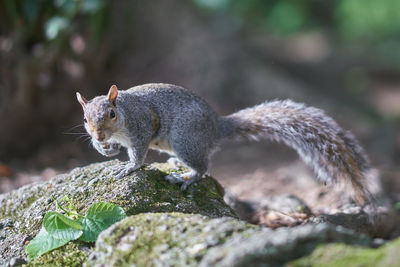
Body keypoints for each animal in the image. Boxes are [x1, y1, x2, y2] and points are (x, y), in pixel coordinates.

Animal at [76, 84, 372, 205]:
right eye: (85, 119)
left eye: (111, 114)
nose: (99, 136)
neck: (125, 113)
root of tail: (216, 126)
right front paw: (106, 150)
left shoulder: (142, 127)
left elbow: (138, 154)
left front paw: (129, 167)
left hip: (185, 139)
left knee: (203, 168)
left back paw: (185, 177)